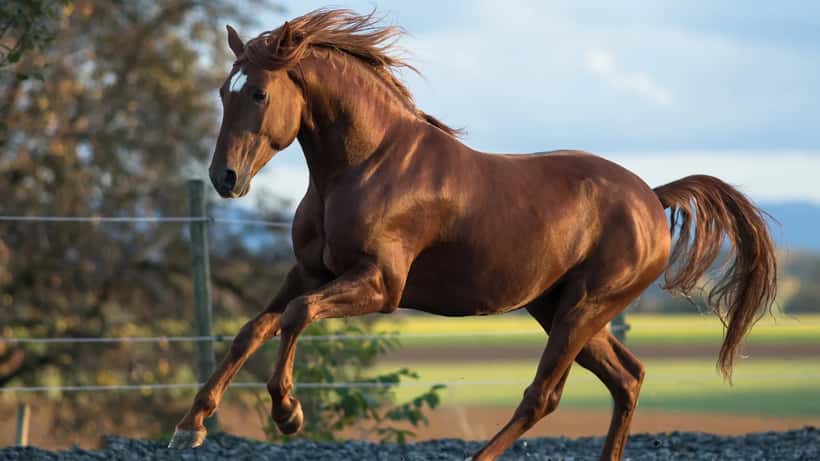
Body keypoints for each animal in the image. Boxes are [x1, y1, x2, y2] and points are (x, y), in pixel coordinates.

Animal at [168, 9, 777, 461]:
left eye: (259, 94)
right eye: (223, 91)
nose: (224, 178)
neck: (365, 164)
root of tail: (652, 196)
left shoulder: (380, 284)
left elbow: (296, 317)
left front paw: (288, 413)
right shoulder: (309, 271)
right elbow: (251, 329)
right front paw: (191, 425)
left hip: (584, 308)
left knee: (543, 396)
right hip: (558, 307)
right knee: (627, 378)